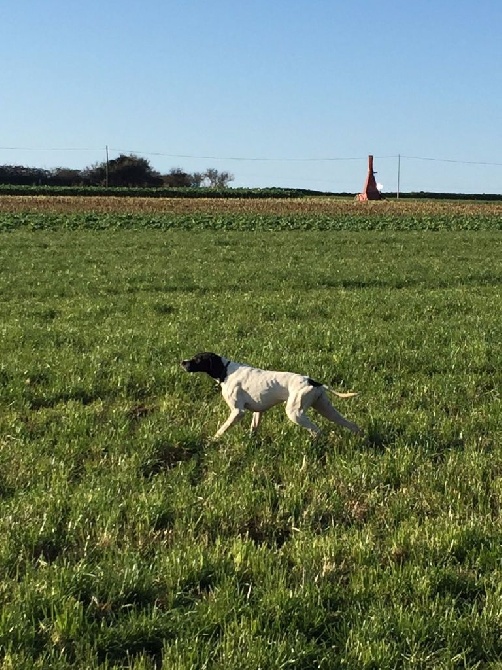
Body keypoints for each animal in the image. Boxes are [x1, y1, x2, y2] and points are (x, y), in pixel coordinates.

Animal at [180, 352, 360, 440]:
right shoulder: (257, 411)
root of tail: (314, 382)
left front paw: (213, 440)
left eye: (197, 359)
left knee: (317, 431)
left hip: (295, 413)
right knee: (352, 425)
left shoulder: (238, 412)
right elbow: (253, 429)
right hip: (326, 409)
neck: (226, 371)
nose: (183, 362)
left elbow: (222, 429)